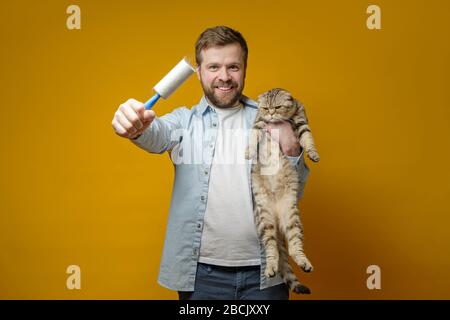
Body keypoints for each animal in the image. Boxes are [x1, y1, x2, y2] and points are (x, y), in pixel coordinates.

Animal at [244, 87, 318, 292]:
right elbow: (253, 137)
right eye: (265, 108)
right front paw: (249, 152)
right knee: (272, 249)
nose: (270, 113)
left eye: (276, 107)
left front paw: (313, 153)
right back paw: (270, 268)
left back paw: (304, 263)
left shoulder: (302, 122)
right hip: (265, 220)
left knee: (294, 246)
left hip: (291, 216)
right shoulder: (258, 122)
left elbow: (308, 138)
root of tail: (277, 219)